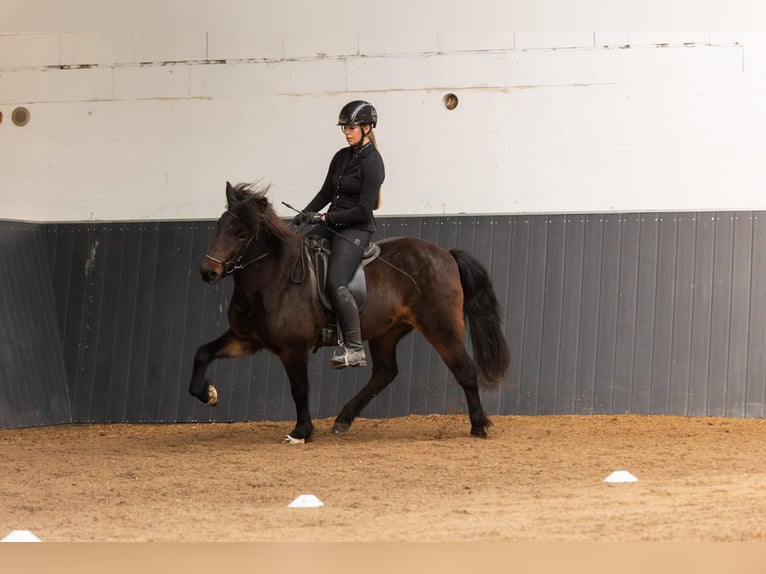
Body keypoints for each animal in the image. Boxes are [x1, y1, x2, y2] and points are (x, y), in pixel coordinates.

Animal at [190, 181, 510, 443]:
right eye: (219, 226)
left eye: (242, 234)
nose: (208, 272)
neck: (274, 279)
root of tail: (445, 254)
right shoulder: (247, 339)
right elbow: (202, 353)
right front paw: (208, 394)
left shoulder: (293, 348)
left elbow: (299, 388)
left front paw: (301, 432)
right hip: (387, 332)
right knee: (385, 373)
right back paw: (343, 419)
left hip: (440, 327)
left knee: (465, 369)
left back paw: (478, 426)